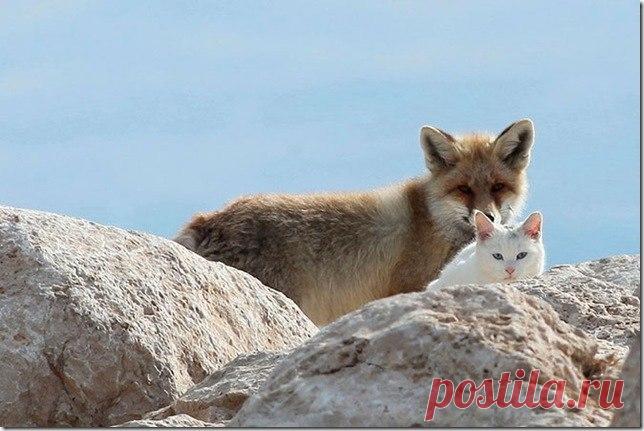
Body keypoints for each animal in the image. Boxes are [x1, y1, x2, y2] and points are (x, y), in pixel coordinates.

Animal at [174, 119, 535, 325]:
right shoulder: (408, 287)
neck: (433, 219)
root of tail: (208, 219)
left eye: (498, 187)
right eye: (463, 189)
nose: (488, 216)